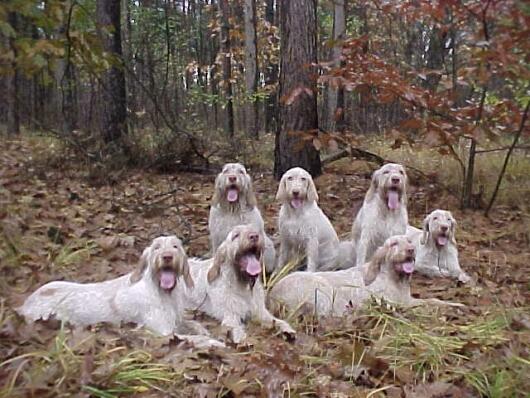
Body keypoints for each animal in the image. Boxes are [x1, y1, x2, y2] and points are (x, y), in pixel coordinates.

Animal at [18, 236, 223, 348]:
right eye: (156, 247)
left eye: (175, 246)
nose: (167, 257)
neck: (163, 293)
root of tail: (24, 305)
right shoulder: (162, 332)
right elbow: (194, 338)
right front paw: (217, 343)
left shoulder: (176, 320)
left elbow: (194, 325)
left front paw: (205, 330)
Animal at [268, 233, 462, 318]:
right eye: (393, 244)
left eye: (409, 242)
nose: (410, 250)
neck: (393, 277)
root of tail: (273, 296)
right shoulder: (398, 302)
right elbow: (428, 303)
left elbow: (434, 300)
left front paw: (457, 305)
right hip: (323, 291)